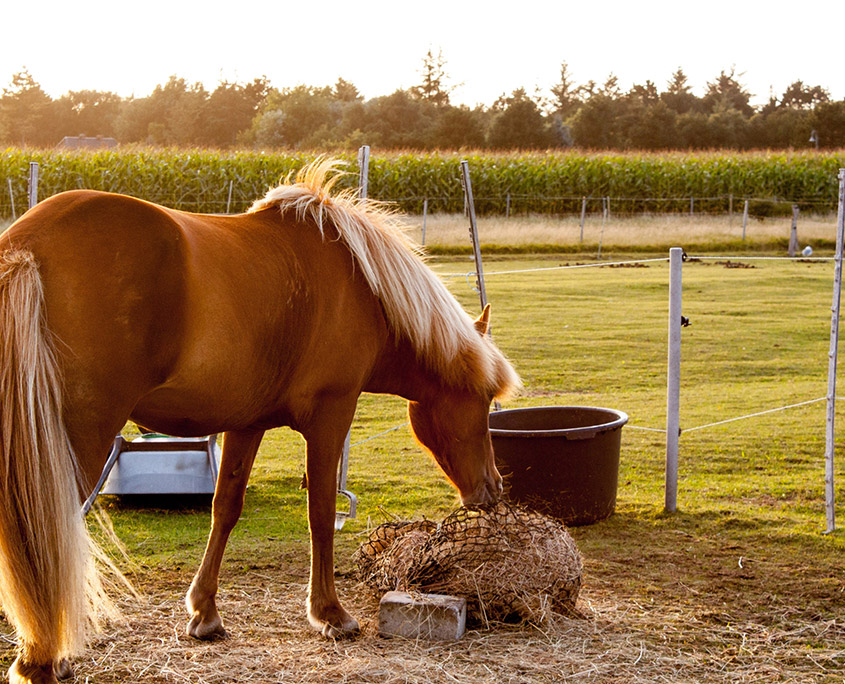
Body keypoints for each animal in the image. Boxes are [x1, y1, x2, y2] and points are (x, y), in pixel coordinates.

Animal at [0, 159, 520, 684]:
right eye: (481, 398)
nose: (493, 488)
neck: (361, 287)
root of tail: (25, 245)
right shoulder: (331, 416)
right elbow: (321, 512)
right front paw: (331, 614)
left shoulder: (245, 424)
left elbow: (225, 508)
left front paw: (204, 613)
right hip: (76, 441)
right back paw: (40, 659)